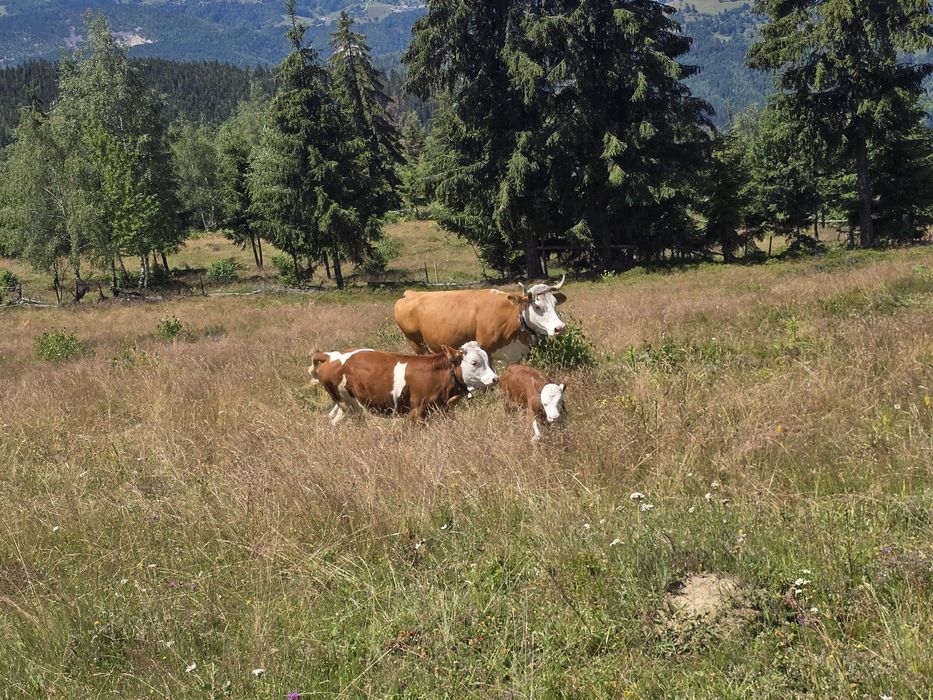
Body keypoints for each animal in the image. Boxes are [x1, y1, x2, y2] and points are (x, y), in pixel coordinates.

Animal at [314, 341, 498, 425]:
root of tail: (330, 355)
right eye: (474, 362)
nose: (495, 379)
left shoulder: (443, 410)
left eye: (486, 358)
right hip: (349, 405)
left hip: (344, 404)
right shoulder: (417, 411)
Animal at [393, 276, 568, 365]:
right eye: (537, 306)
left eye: (555, 303)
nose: (560, 328)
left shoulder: (516, 355)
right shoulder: (485, 350)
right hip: (416, 343)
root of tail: (411, 293)